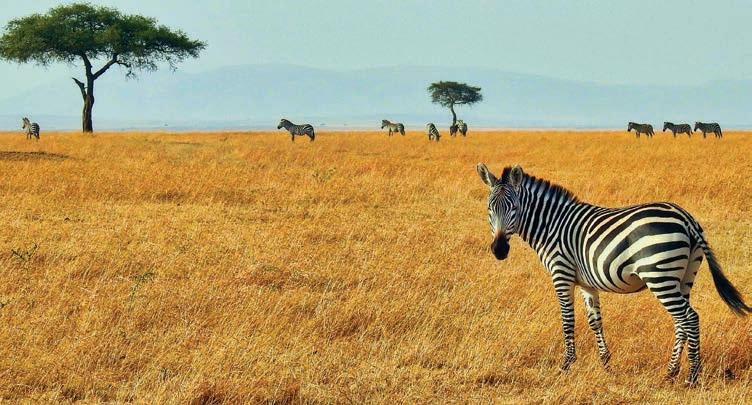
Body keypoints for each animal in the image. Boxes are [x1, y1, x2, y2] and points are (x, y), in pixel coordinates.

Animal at [476, 163, 750, 386]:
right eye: (490, 208)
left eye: (513, 207)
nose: (499, 250)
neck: (551, 225)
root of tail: (686, 218)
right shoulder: (586, 283)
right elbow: (595, 320)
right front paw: (605, 362)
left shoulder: (562, 273)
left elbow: (567, 320)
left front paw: (567, 364)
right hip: (684, 277)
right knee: (681, 321)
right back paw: (671, 372)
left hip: (659, 275)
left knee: (690, 318)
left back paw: (692, 376)